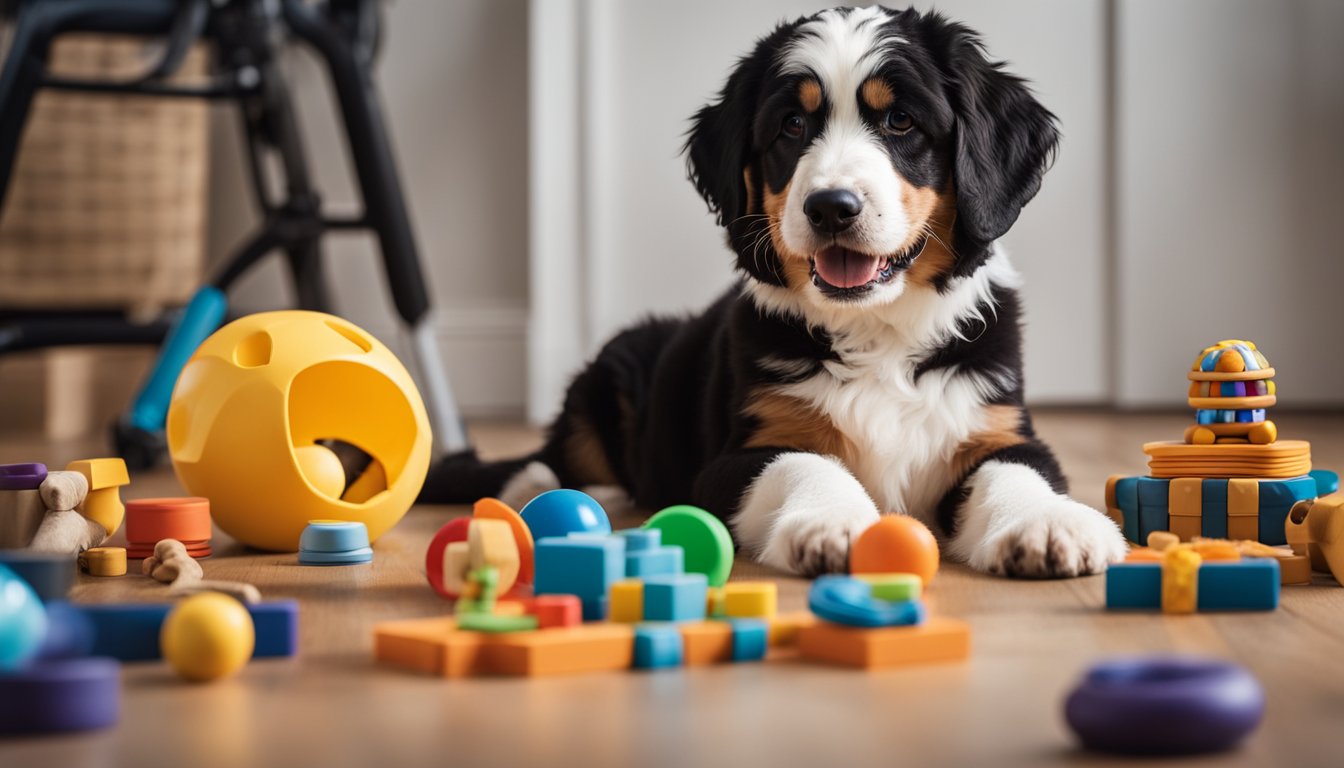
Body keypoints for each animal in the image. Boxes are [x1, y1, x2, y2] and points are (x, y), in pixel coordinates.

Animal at [422, 4, 1134, 575]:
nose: (832, 207)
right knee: (551, 458)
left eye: (901, 121)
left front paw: (1048, 525)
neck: (877, 331)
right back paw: (547, 491)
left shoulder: (998, 425)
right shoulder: (740, 452)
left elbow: (1018, 473)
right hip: (611, 368)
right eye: (792, 125)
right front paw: (833, 524)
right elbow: (804, 463)